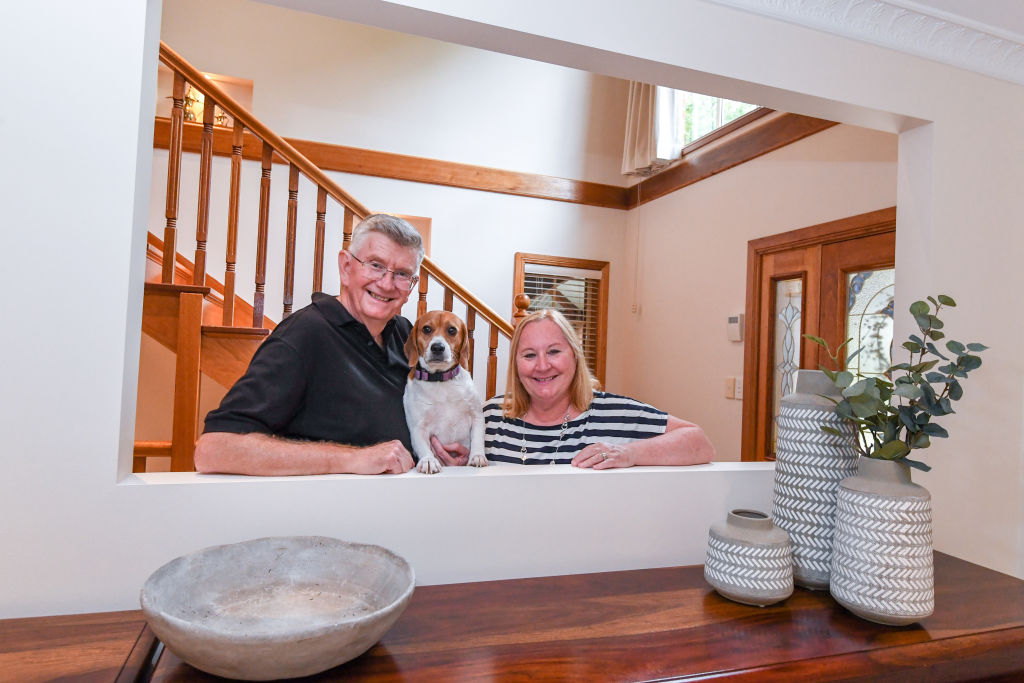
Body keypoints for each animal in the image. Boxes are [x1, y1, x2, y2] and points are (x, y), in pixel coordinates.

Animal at [403, 311, 487, 475]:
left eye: (452, 330)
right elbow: (423, 447)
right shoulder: (418, 427)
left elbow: (477, 439)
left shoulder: (477, 416)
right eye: (427, 329)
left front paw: (477, 456)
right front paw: (428, 460)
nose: (437, 347)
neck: (441, 379)